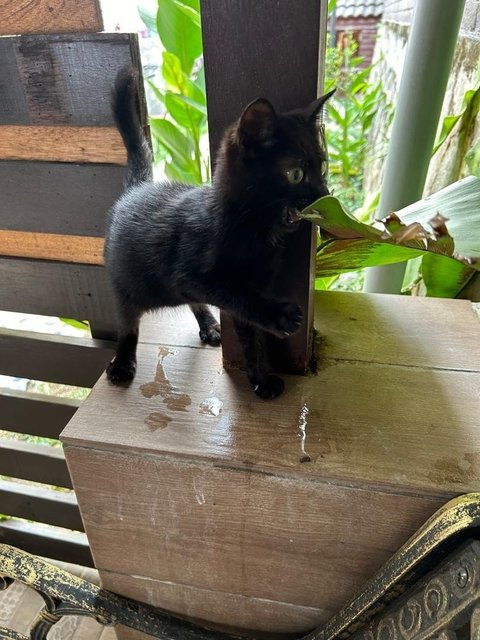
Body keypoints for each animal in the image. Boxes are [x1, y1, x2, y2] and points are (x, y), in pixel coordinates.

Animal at [104, 69, 332, 400]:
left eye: (323, 166)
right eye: (296, 174)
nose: (324, 193)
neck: (254, 231)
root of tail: (139, 187)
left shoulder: (256, 282)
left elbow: (250, 334)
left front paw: (261, 379)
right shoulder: (190, 273)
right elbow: (235, 293)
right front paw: (280, 316)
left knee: (193, 302)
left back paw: (210, 325)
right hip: (125, 281)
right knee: (127, 322)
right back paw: (122, 362)